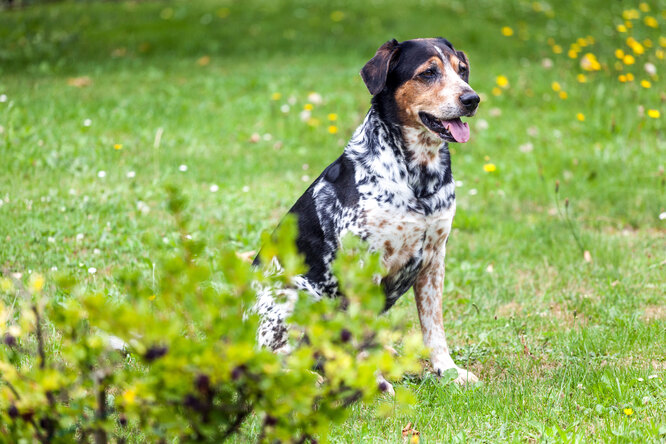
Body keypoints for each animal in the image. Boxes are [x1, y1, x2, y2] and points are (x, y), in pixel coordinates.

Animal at [253, 37, 478, 386]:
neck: (418, 179)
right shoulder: (365, 265)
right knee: (272, 361)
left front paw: (449, 371)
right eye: (428, 73)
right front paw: (375, 383)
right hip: (293, 298)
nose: (472, 99)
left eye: (462, 69)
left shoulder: (434, 259)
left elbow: (434, 328)